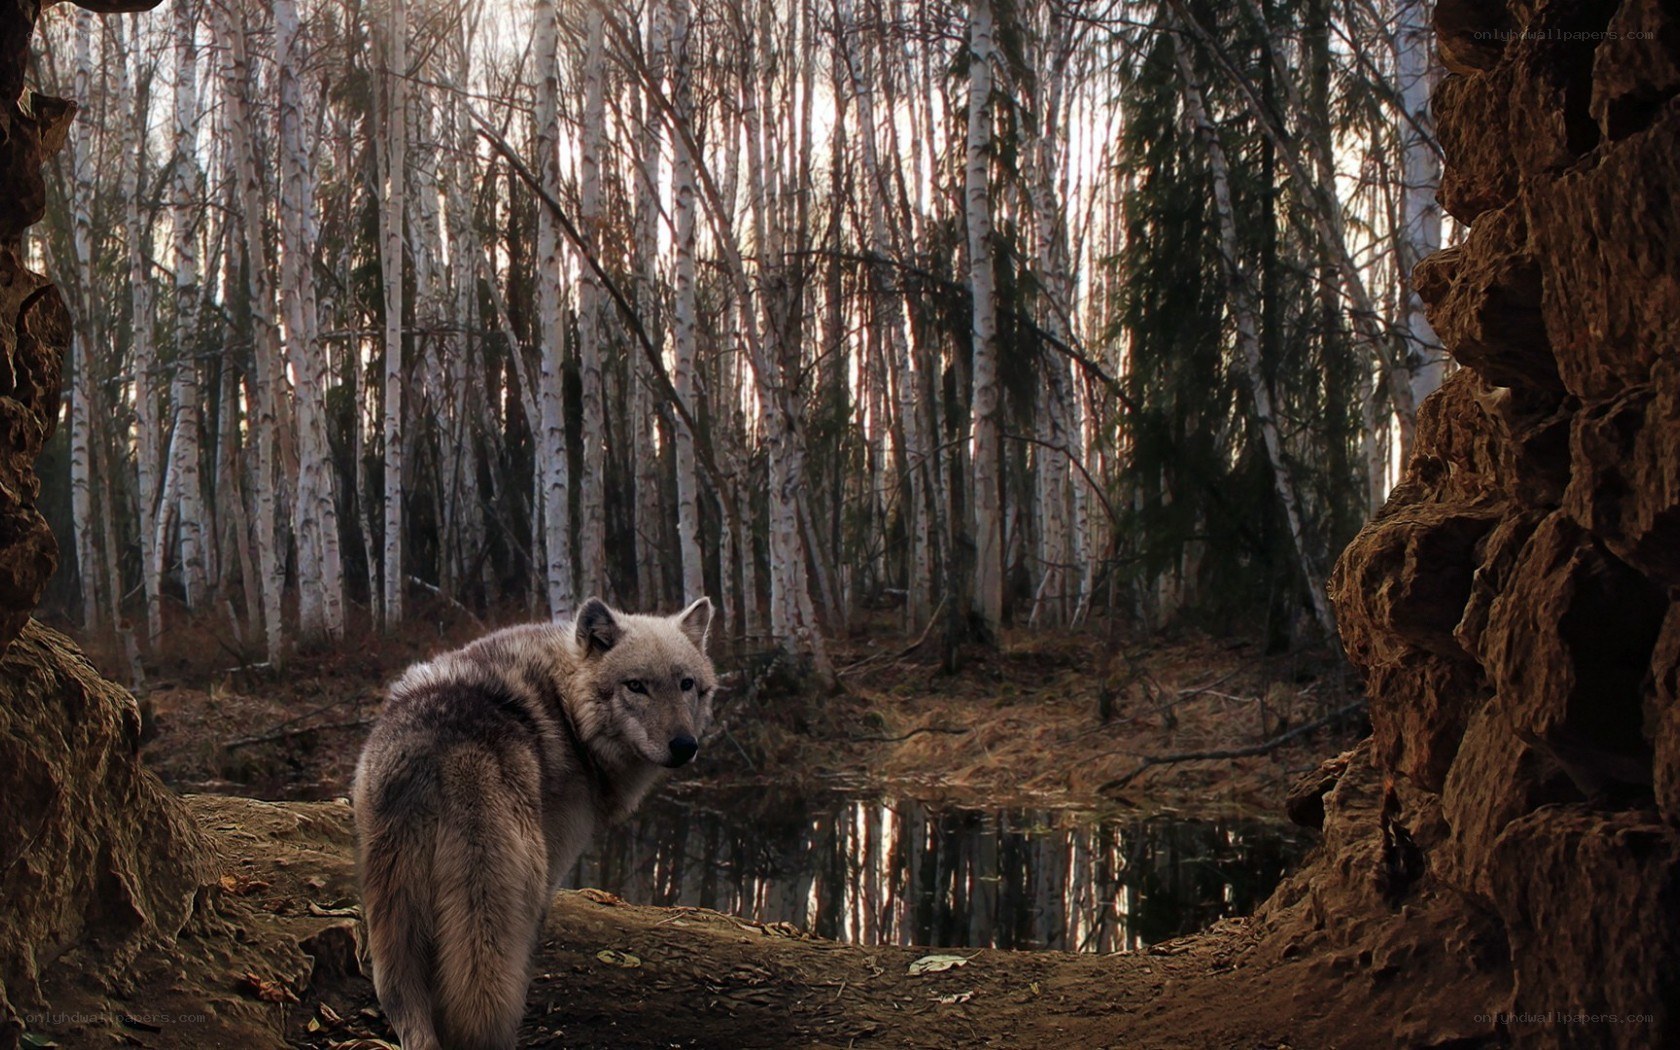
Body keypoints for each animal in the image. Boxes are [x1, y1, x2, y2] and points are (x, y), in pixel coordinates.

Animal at [353, 596, 717, 1050]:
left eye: (686, 684)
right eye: (636, 686)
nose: (685, 746)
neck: (567, 711)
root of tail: (448, 750)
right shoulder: (552, 874)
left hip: (394, 915)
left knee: (406, 1008)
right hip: (511, 892)